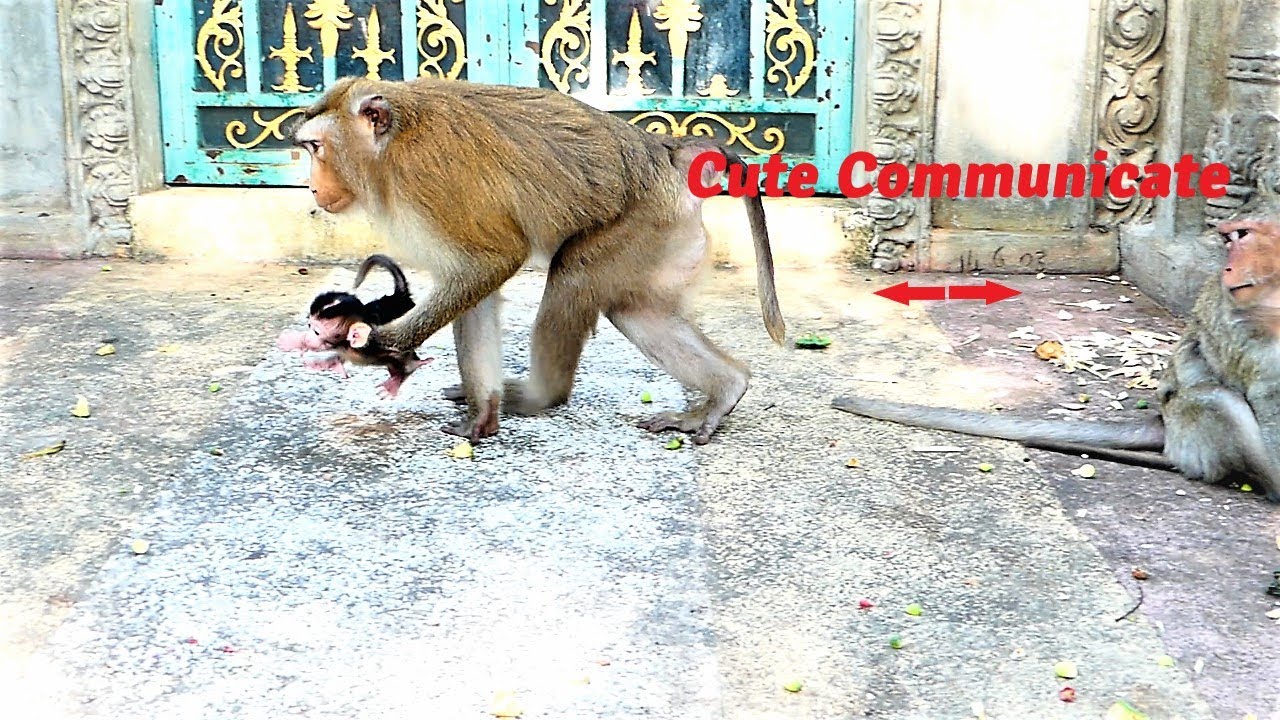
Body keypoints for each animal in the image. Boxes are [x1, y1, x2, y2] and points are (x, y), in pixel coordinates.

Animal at [276, 253, 431, 398]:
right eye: (309, 326)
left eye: (317, 332)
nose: (308, 338)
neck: (347, 346)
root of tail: (400, 299)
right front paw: (296, 341)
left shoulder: (376, 344)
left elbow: (403, 357)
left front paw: (399, 379)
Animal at [831, 192, 1280, 502]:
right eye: (1233, 237)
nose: (1227, 266)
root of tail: (1164, 425)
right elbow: (1264, 396)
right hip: (1192, 427)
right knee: (1221, 401)